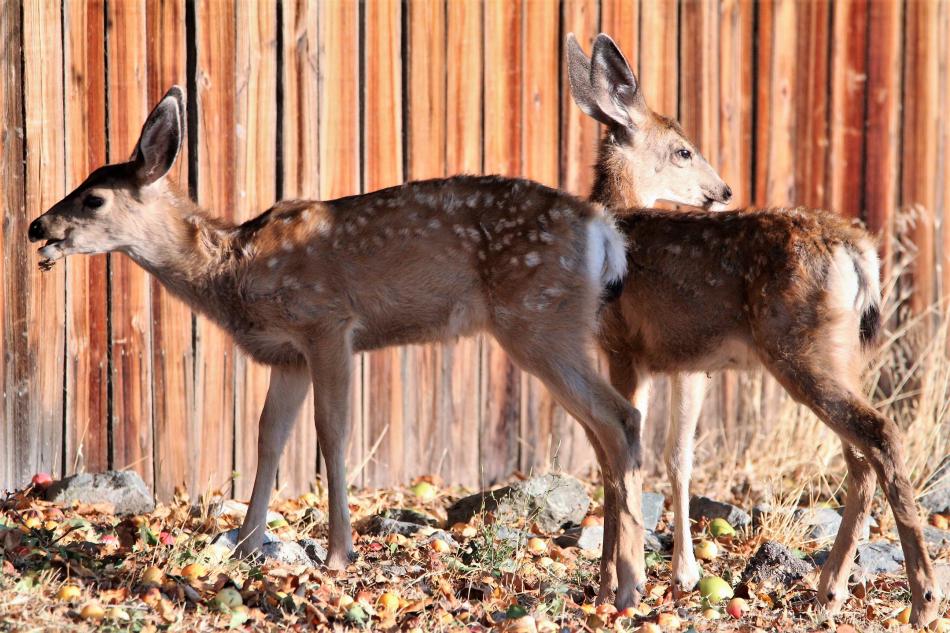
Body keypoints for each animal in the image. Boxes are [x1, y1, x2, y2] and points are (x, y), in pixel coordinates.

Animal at [29, 86, 659, 608]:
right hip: (556, 326)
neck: (233, 269)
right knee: (607, 434)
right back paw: (610, 580)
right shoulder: (286, 355)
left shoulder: (327, 323)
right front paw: (248, 544)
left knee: (620, 418)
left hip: (538, 318)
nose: (37, 227)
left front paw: (337, 553)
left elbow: (331, 432)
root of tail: (604, 231)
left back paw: (628, 585)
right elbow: (269, 437)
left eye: (93, 199)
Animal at [566, 33, 943, 625]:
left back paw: (923, 598)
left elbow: (618, 458)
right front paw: (669, 578)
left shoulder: (624, 347)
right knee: (859, 456)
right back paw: (830, 590)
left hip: (800, 348)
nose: (723, 190)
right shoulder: (687, 363)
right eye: (684, 151)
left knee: (880, 433)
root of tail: (858, 250)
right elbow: (675, 454)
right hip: (837, 353)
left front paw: (612, 589)